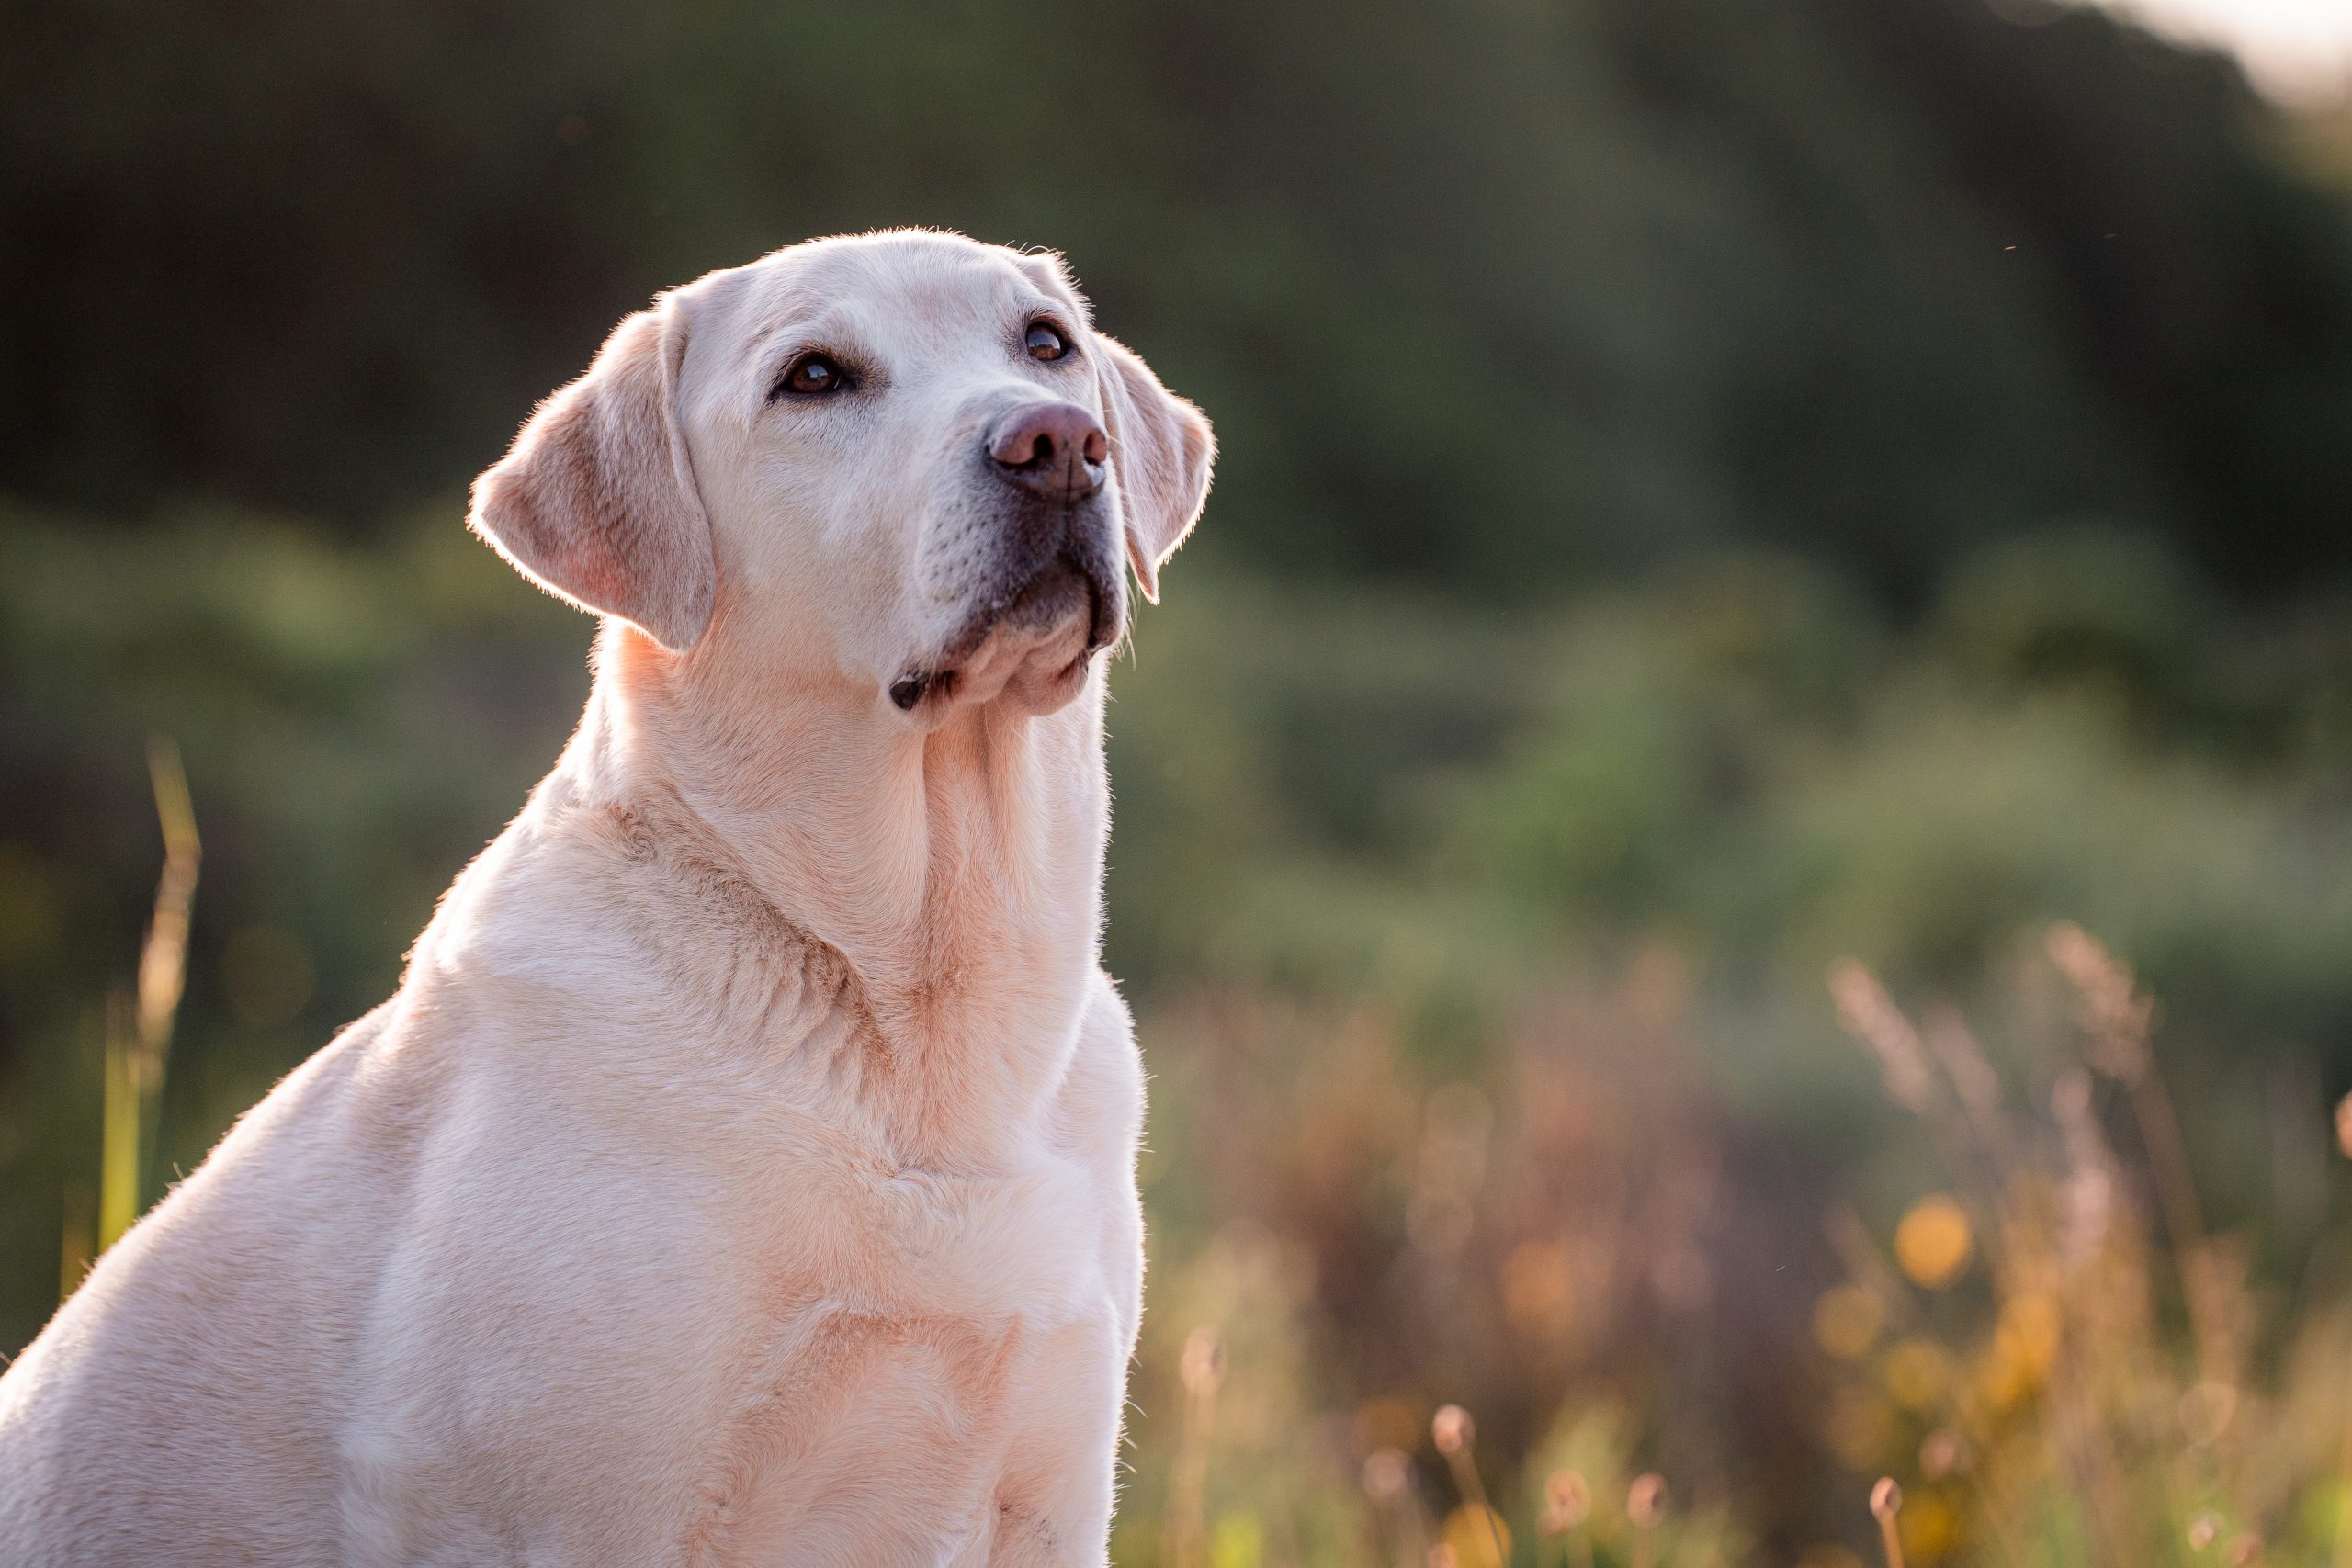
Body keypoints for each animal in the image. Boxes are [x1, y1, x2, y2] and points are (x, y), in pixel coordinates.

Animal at [0, 232, 1213, 1568]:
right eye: (814, 376)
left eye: (1047, 343)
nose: (1058, 442)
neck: (904, 1011)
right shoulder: (594, 1505)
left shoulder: (1051, 1492)